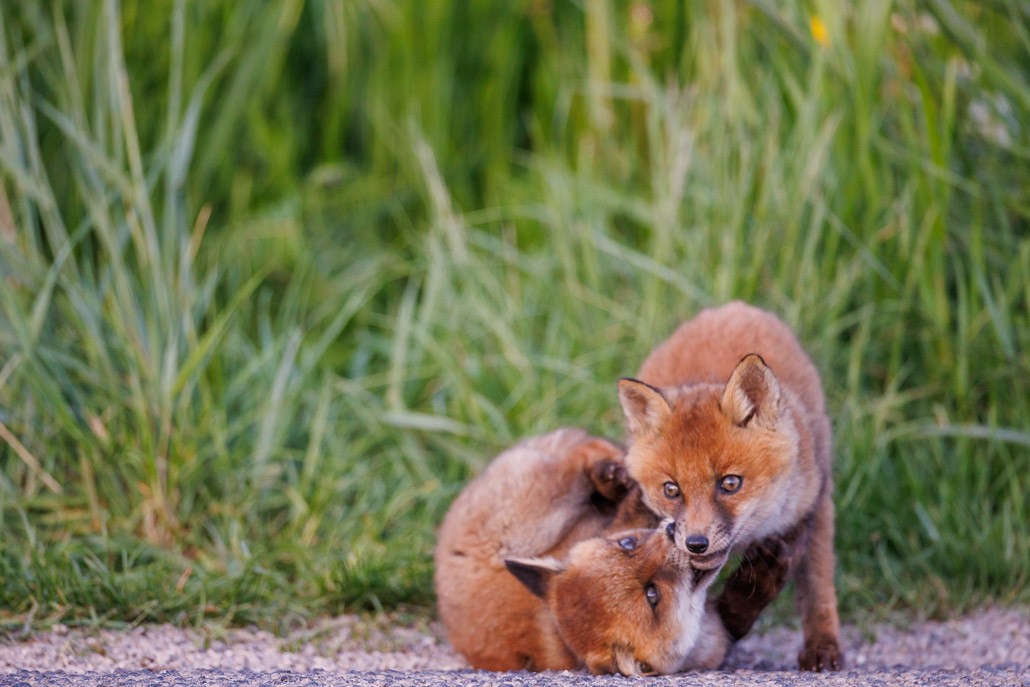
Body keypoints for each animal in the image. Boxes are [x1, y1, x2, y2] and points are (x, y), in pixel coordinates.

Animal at [616, 301, 843, 671]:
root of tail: (734, 308)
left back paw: (823, 646)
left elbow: (772, 580)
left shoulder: (797, 517)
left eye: (730, 483)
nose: (695, 544)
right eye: (671, 489)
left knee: (819, 586)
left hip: (821, 501)